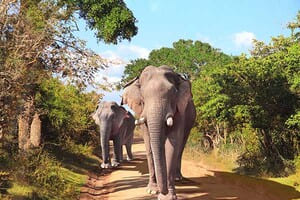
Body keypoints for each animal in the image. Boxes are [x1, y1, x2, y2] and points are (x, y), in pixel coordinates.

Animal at [120, 66, 196, 200]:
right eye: (143, 96)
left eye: (173, 93)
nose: (162, 192)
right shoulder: (142, 112)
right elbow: (149, 144)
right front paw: (152, 191)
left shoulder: (179, 109)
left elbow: (172, 144)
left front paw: (168, 196)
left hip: (190, 121)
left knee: (180, 147)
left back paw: (178, 178)